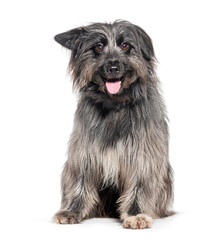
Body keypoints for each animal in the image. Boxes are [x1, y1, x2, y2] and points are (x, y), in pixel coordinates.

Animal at [53, 20, 173, 229]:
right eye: (98, 47)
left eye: (125, 45)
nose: (113, 67)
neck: (115, 104)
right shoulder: (84, 151)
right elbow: (80, 180)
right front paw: (73, 210)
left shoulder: (142, 155)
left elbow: (139, 184)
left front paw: (136, 213)